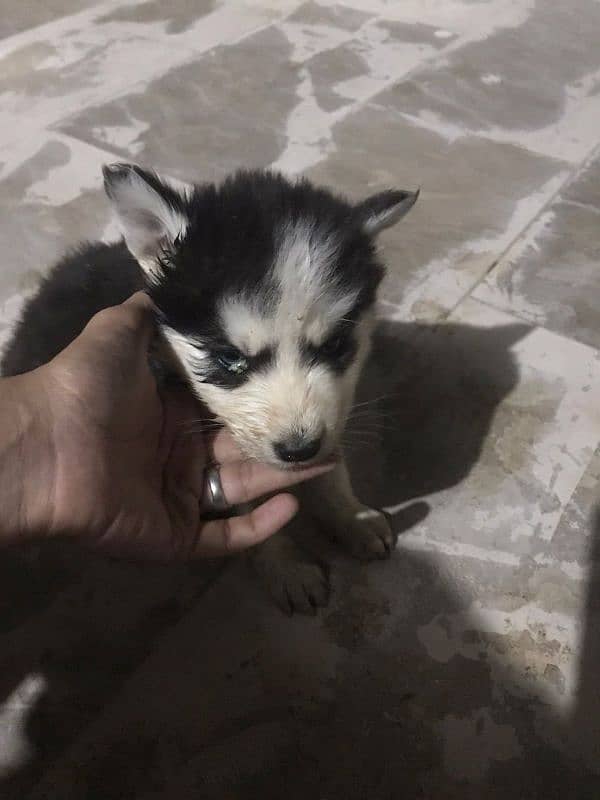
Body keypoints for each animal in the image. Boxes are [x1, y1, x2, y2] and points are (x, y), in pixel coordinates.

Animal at [2, 162, 418, 612]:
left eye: (336, 346)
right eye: (229, 359)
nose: (298, 450)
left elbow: (332, 473)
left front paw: (353, 517)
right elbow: (254, 514)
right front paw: (287, 568)